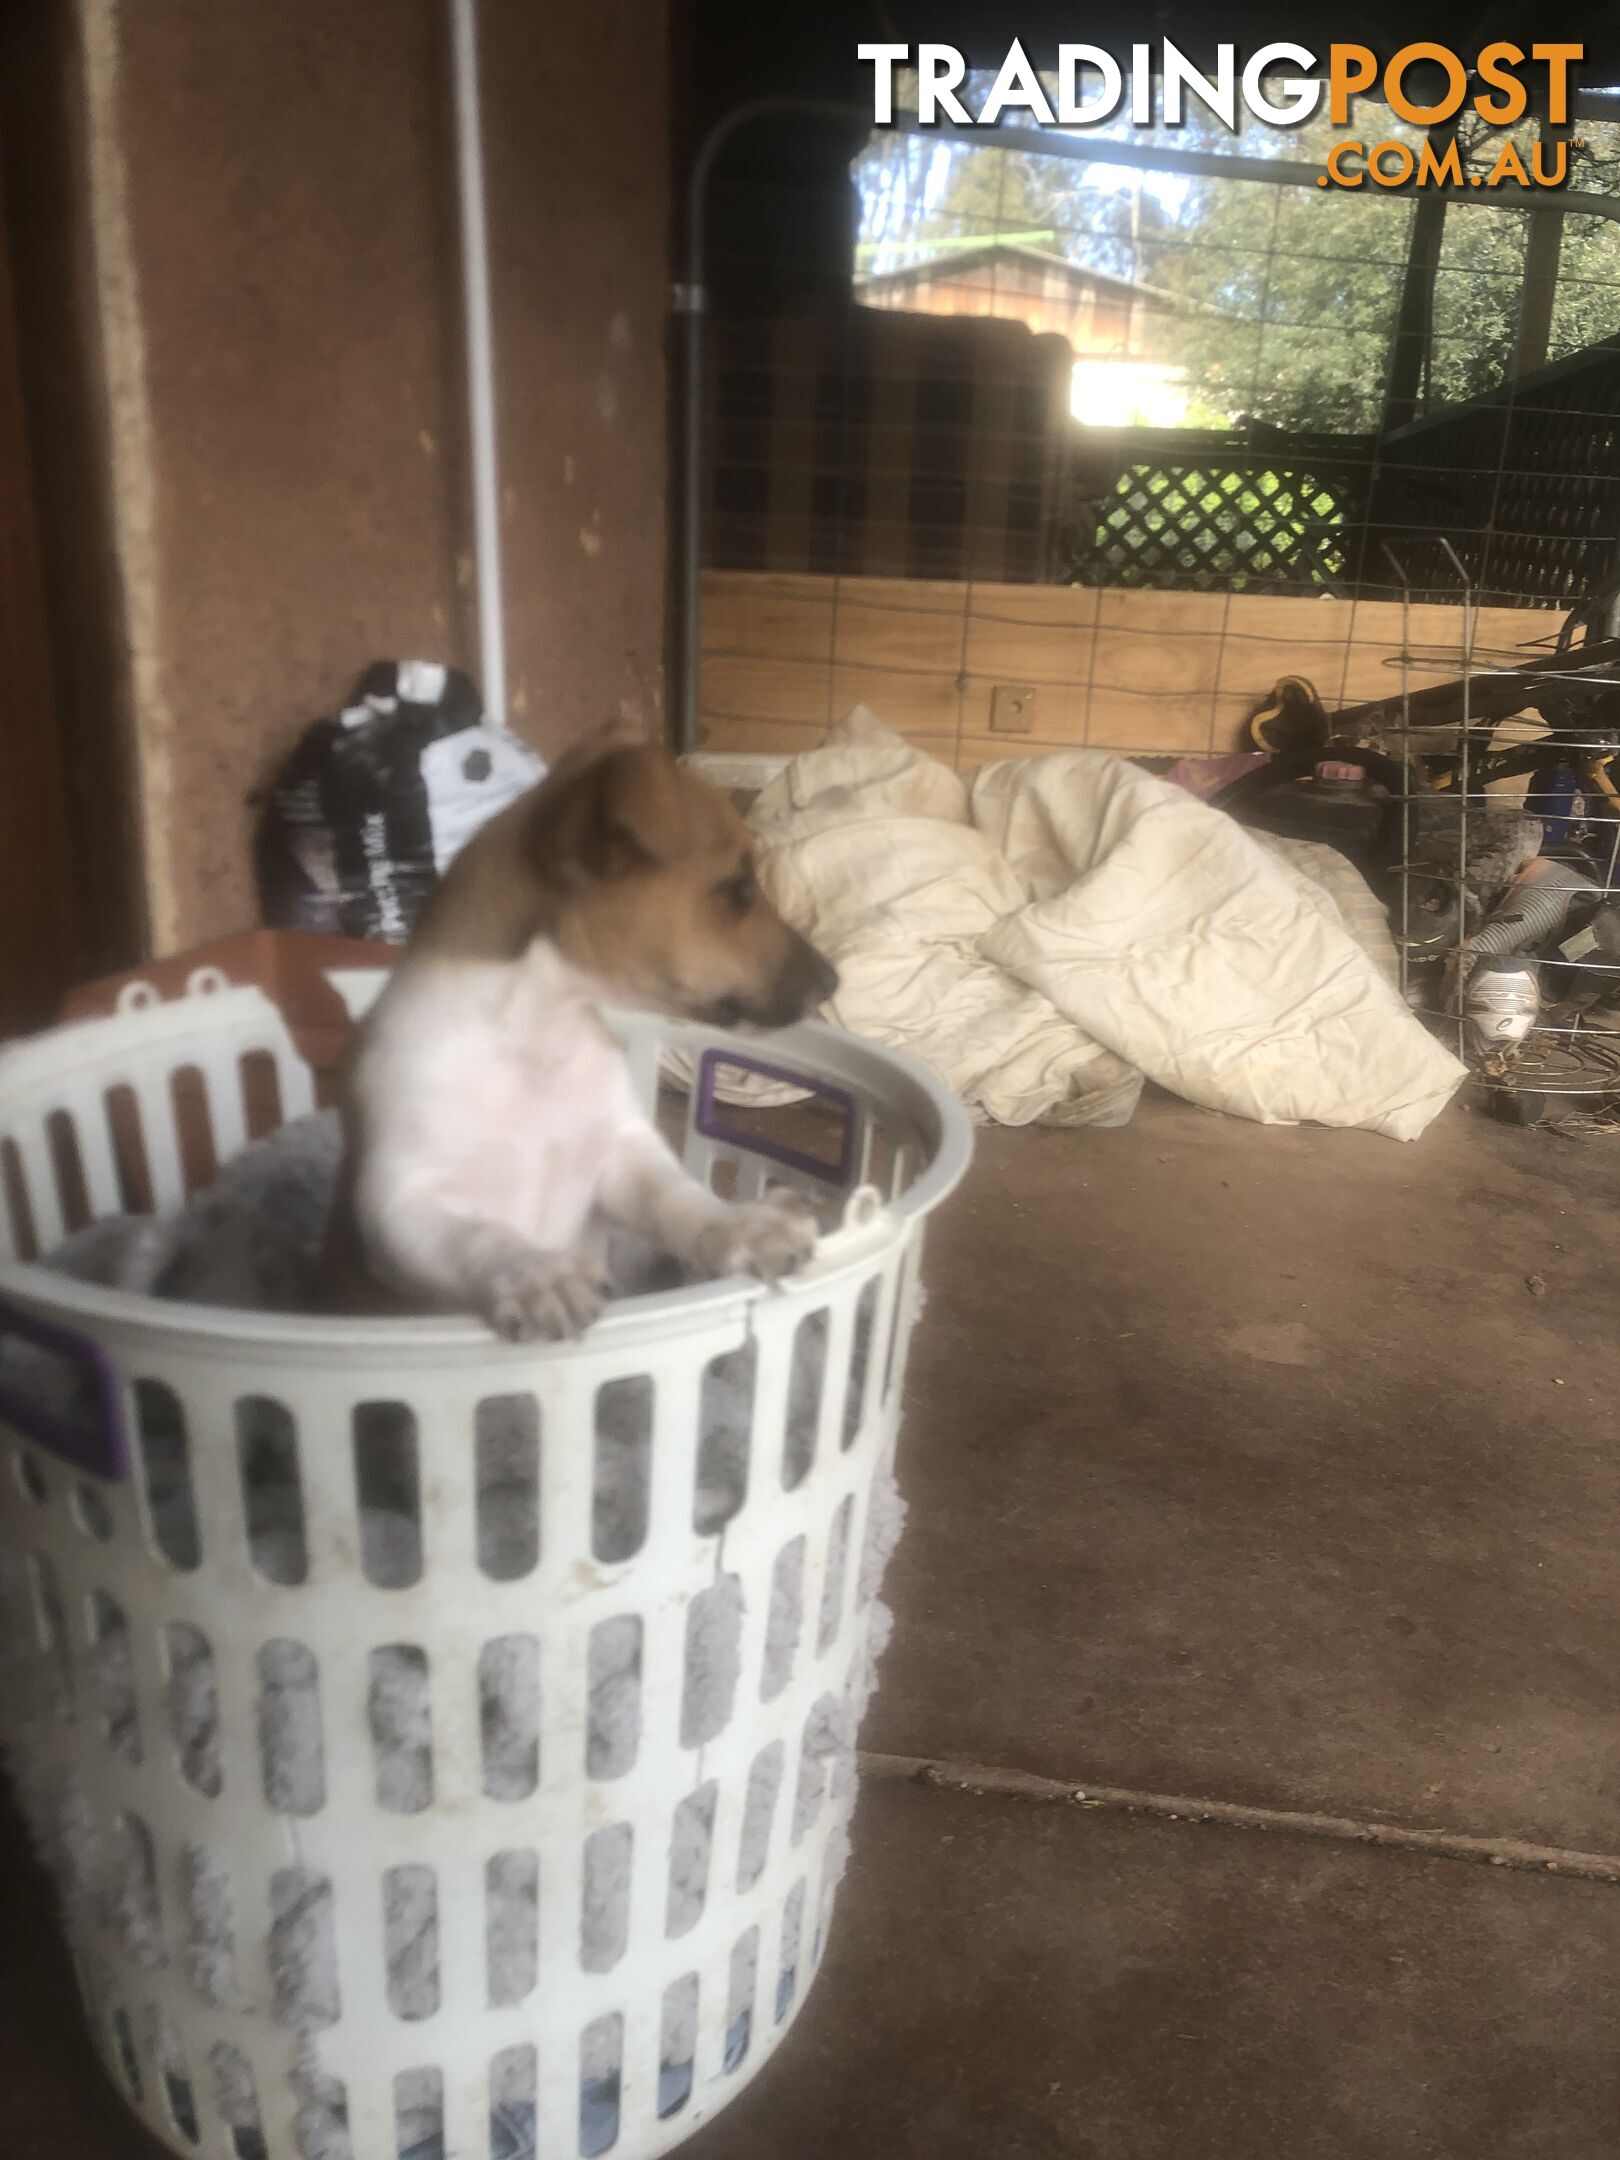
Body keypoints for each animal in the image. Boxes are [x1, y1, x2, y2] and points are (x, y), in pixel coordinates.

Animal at [326, 738, 842, 1330]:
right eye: (740, 888)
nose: (833, 981)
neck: (535, 1034)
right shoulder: (401, 1203)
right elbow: (478, 1236)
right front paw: (536, 1272)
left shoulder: (622, 1157)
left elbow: (679, 1201)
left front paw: (744, 1225)